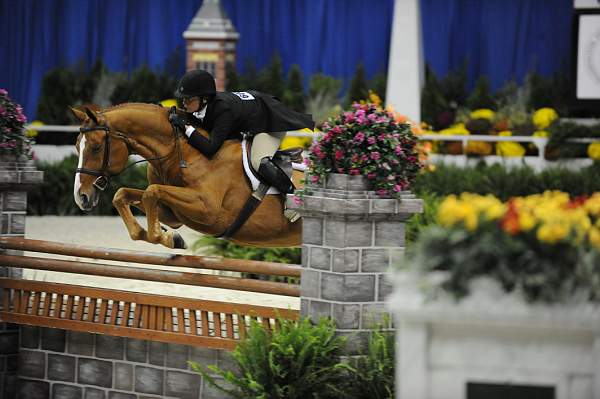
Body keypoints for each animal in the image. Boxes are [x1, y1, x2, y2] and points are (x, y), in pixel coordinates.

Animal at [72, 103, 302, 248]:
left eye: (95, 147)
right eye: (76, 146)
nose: (81, 197)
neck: (180, 151)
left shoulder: (207, 210)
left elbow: (151, 191)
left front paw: (165, 236)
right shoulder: (172, 214)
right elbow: (124, 195)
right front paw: (170, 237)